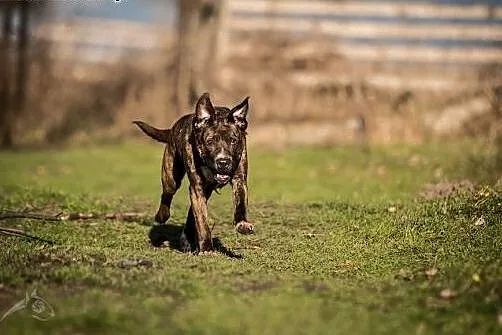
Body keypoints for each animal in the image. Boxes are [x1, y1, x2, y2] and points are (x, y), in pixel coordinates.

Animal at [132, 93, 253, 253]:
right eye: (210, 141)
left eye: (233, 141)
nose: (223, 162)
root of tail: (173, 128)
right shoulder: (197, 186)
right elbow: (202, 221)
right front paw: (206, 248)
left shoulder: (239, 180)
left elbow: (240, 204)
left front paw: (242, 224)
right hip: (171, 176)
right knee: (167, 194)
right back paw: (162, 216)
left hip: (204, 190)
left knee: (191, 212)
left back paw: (186, 239)